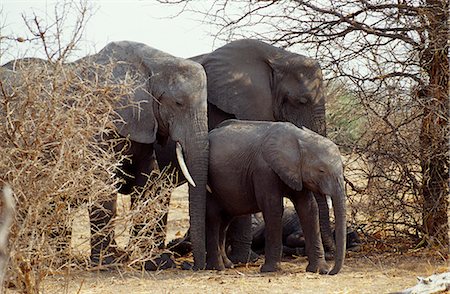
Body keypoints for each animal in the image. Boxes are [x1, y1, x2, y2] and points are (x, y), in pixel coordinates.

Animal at [207, 118, 348, 274]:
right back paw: (218, 267)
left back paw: (228, 265)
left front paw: (318, 270)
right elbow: (273, 207)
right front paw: (270, 270)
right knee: (214, 218)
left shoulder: (295, 172)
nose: (331, 272)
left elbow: (308, 208)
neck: (300, 138)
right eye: (321, 170)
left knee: (225, 220)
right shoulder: (264, 170)